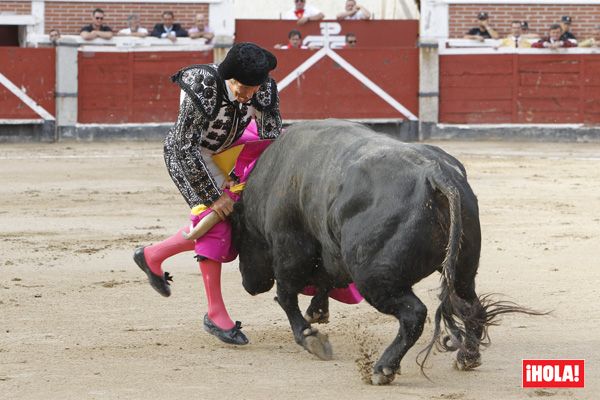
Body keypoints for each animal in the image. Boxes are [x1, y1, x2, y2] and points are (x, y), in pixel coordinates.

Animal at [232, 119, 536, 384]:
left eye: (239, 234)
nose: (248, 284)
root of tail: (435, 173)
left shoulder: (289, 246)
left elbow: (286, 295)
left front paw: (310, 337)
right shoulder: (330, 249)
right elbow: (326, 278)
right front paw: (317, 312)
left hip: (374, 277)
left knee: (414, 314)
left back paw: (384, 368)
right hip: (462, 268)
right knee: (470, 304)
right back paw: (468, 357)